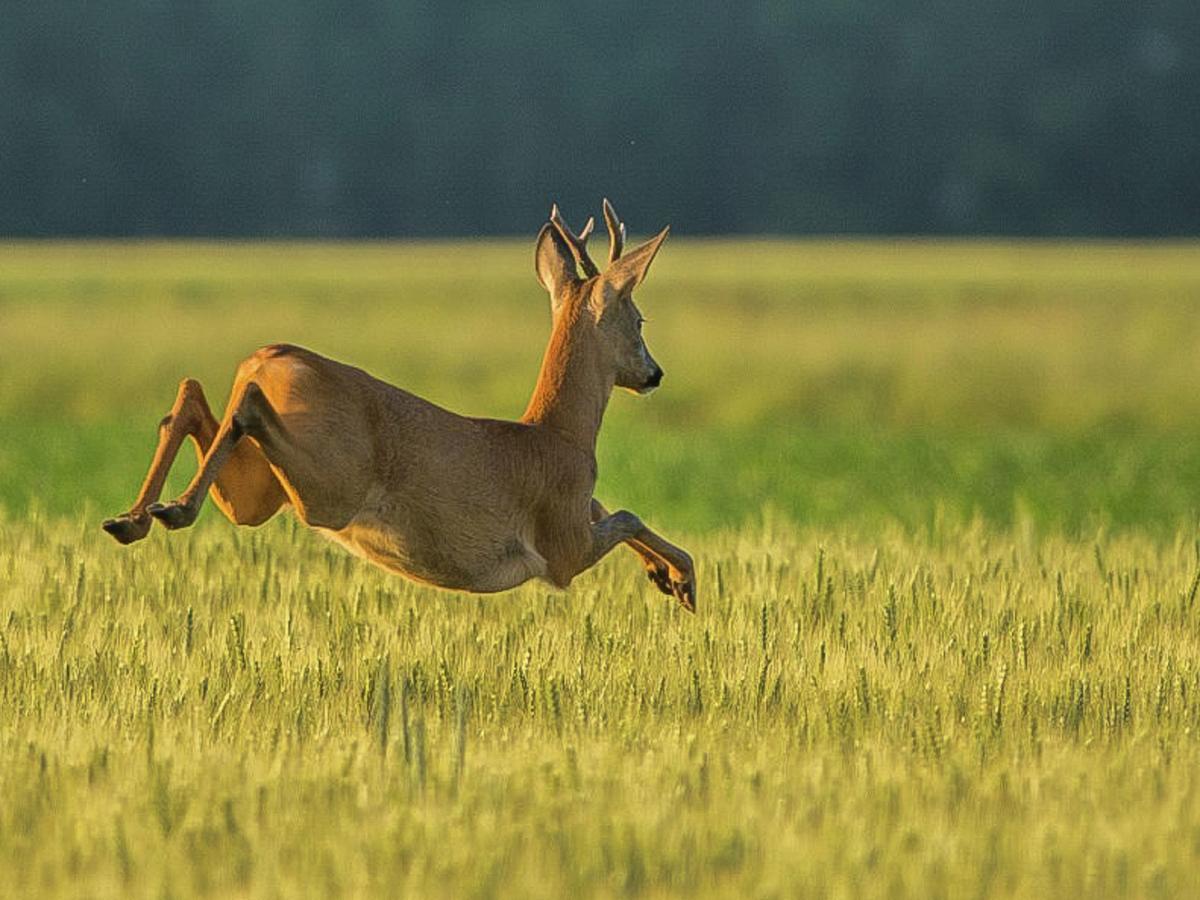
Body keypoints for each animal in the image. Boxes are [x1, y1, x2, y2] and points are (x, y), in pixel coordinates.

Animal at [105, 201, 700, 614]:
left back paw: (136, 517)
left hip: (260, 493)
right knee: (243, 408)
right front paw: (683, 579)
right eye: (640, 319)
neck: (562, 435)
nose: (654, 374)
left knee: (191, 396)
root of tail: (267, 359)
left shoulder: (577, 517)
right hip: (329, 486)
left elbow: (613, 507)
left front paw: (675, 578)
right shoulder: (562, 549)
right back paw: (170, 509)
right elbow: (625, 513)